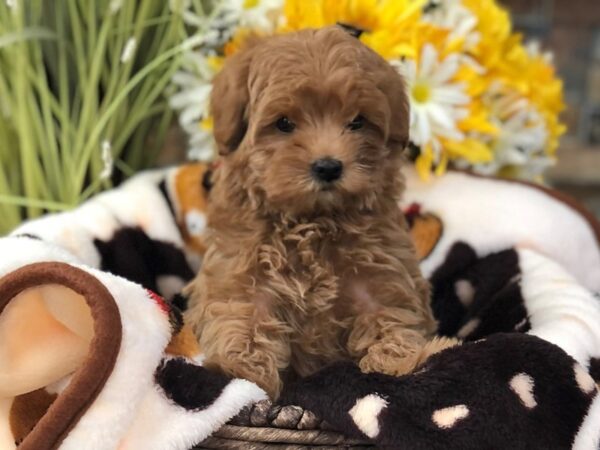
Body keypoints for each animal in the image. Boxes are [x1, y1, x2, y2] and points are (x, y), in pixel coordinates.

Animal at [186, 25, 454, 398]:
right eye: (284, 123)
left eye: (357, 122)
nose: (328, 166)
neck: (312, 223)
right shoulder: (242, 275)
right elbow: (244, 319)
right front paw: (241, 372)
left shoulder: (381, 274)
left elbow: (389, 316)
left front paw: (397, 361)